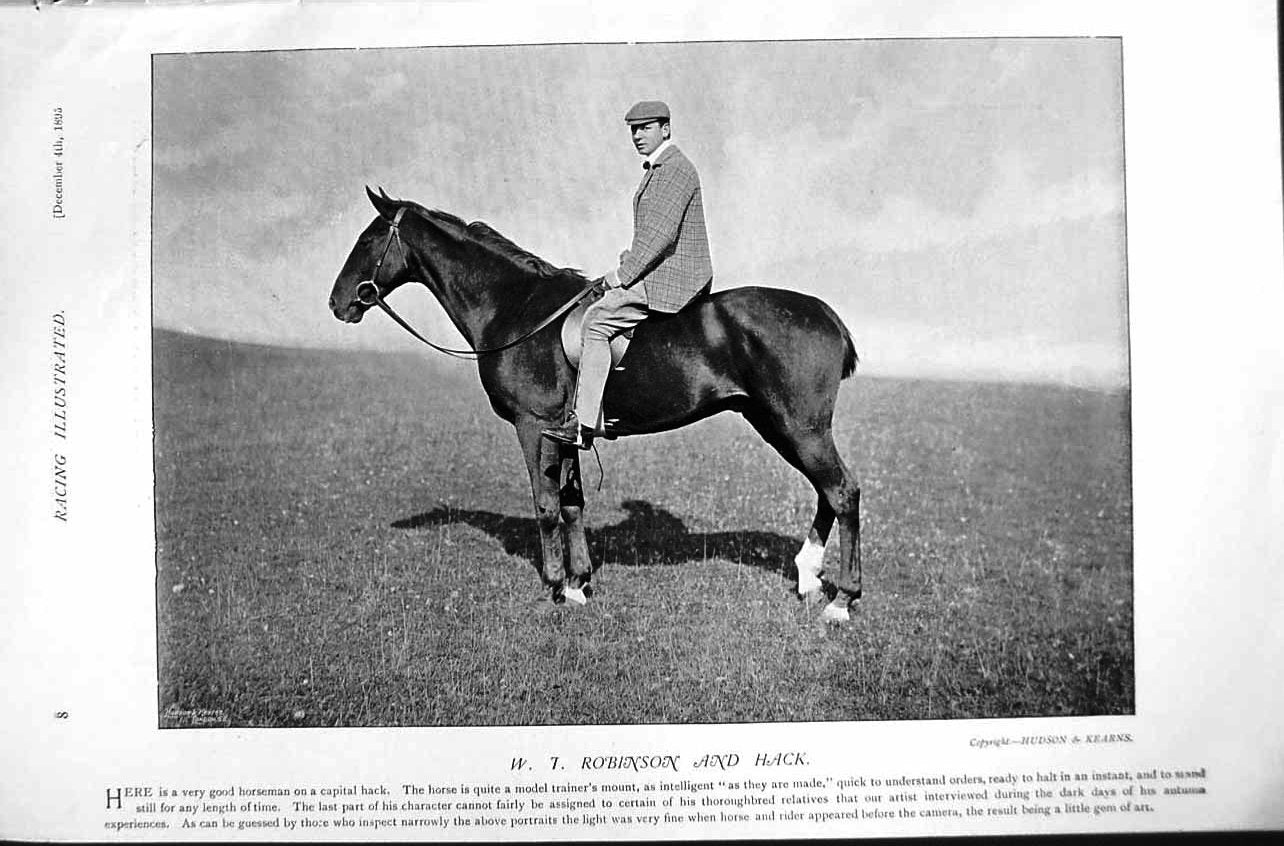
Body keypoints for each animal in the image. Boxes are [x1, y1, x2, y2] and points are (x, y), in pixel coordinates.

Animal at [328, 187, 864, 622]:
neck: (517, 308)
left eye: (366, 242)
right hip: (776, 423)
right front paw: (578, 584)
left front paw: (554, 586)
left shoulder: (532, 426)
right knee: (827, 491)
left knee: (842, 492)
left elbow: (546, 504)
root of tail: (825, 313)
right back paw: (809, 576)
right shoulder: (565, 432)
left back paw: (842, 600)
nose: (338, 304)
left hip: (799, 426)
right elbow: (572, 503)